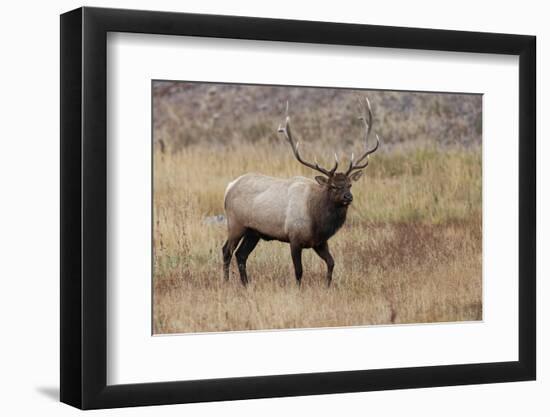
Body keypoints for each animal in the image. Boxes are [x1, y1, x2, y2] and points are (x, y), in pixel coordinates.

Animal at [222, 98, 382, 286]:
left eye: (349, 184)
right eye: (333, 186)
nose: (348, 197)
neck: (318, 220)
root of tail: (229, 187)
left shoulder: (319, 242)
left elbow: (331, 263)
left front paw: (327, 286)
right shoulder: (294, 238)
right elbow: (299, 271)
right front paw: (298, 289)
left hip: (253, 231)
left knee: (241, 255)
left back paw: (246, 284)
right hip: (236, 223)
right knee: (227, 251)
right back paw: (226, 282)